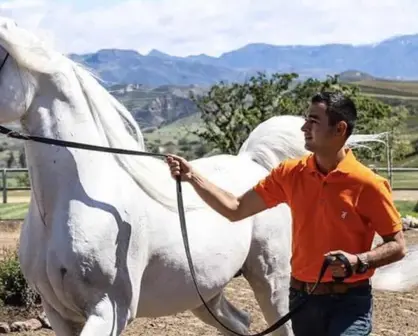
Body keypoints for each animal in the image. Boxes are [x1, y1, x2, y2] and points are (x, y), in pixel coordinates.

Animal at [0, 17, 416, 336]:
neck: (69, 200)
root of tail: (254, 165)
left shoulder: (108, 310)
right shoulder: (59, 314)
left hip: (272, 282)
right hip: (206, 294)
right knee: (242, 323)